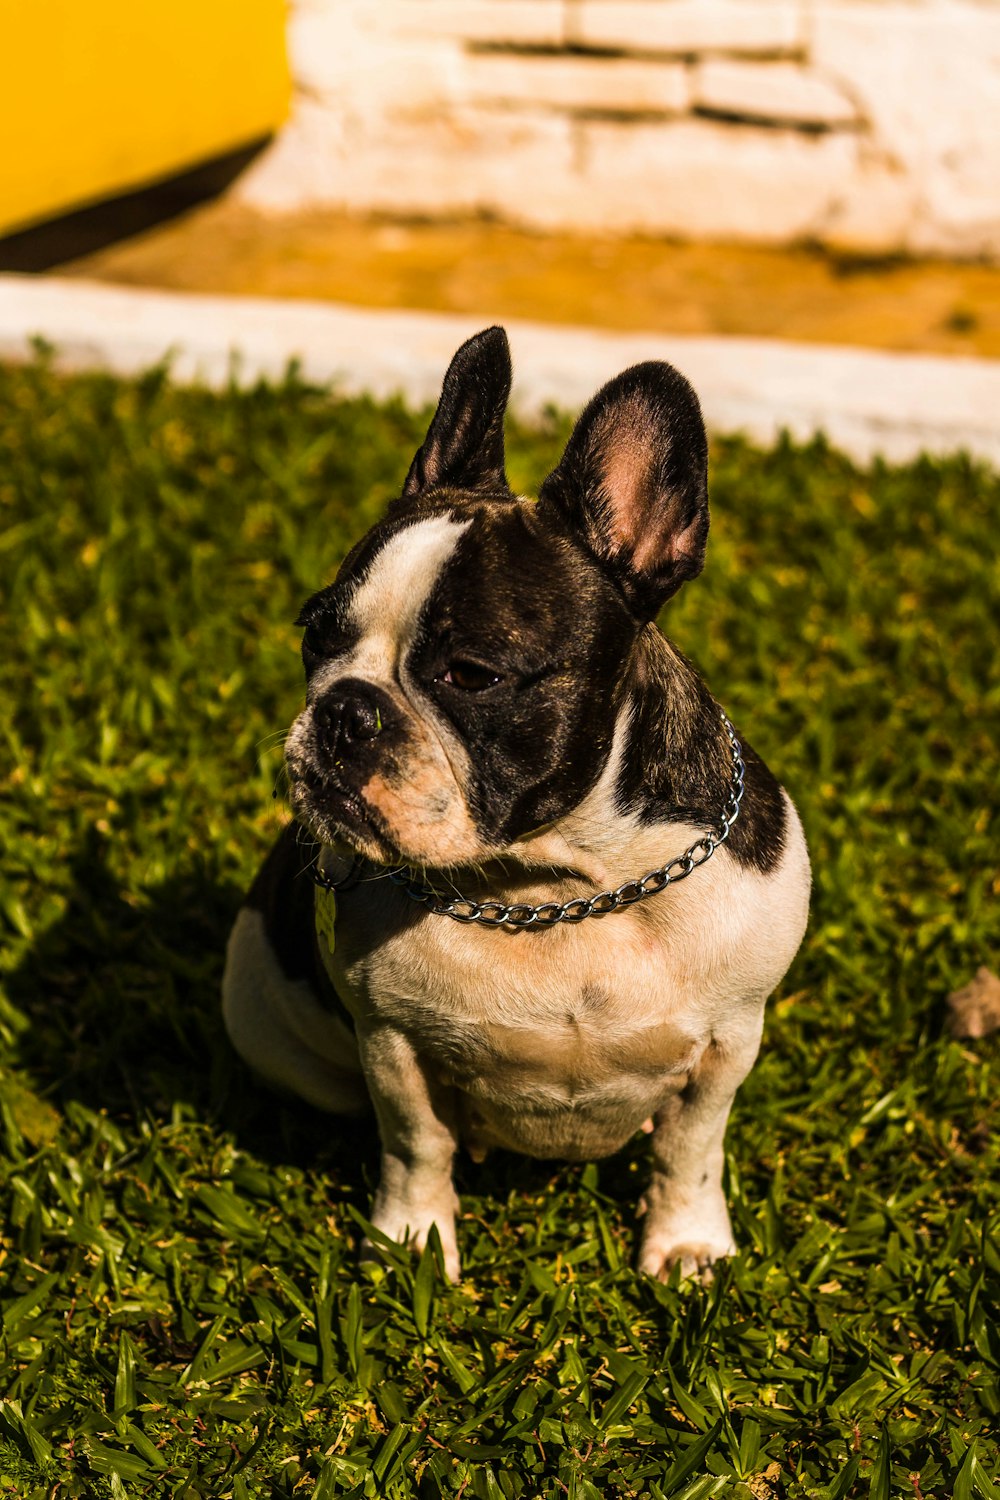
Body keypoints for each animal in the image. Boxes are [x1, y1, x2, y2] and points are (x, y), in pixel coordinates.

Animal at [223, 325, 809, 1278]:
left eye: (472, 675)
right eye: (316, 634)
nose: (346, 710)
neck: (556, 883)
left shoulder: (728, 1042)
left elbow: (692, 1149)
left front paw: (686, 1244)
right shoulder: (393, 1045)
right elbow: (416, 1144)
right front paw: (414, 1245)